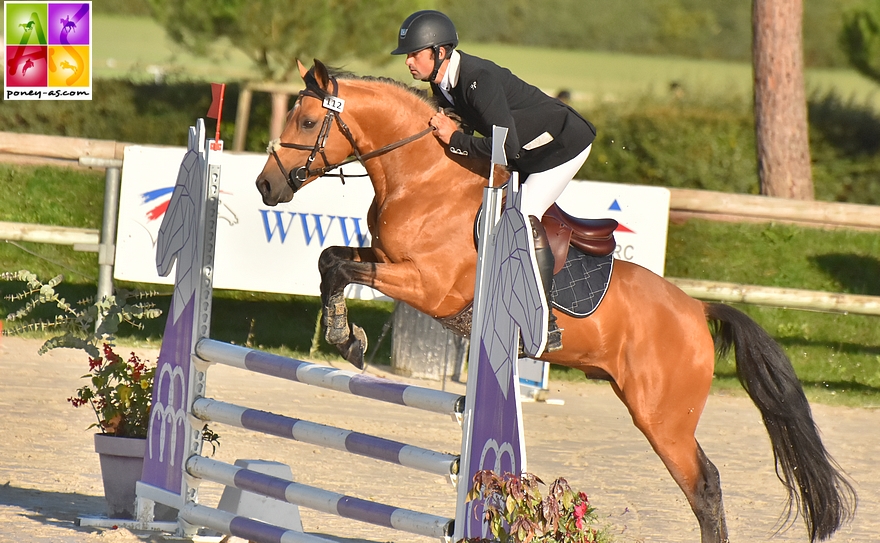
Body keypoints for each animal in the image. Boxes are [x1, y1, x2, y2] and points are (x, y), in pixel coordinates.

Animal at [253, 59, 852, 543]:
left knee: (704, 485)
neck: (422, 178)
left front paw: (344, 339)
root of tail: (697, 310)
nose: (266, 187)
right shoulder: (386, 258)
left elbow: (340, 266)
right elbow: (331, 260)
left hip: (663, 419)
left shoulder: (428, 284)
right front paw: (345, 336)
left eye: (306, 121)